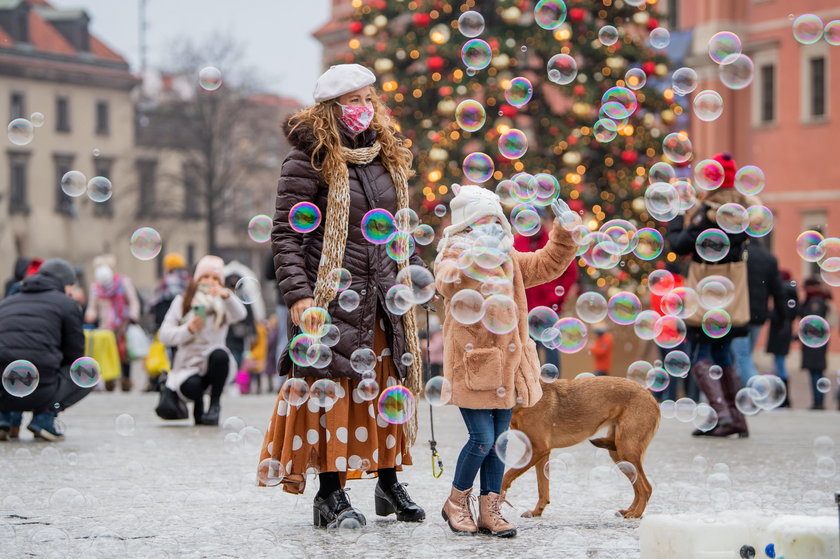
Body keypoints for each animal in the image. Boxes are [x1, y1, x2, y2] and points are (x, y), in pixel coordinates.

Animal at [502, 376, 660, 520]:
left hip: (626, 450)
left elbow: (507, 475)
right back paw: (629, 510)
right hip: (618, 454)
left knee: (646, 488)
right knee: (638, 487)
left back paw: (636, 514)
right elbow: (543, 488)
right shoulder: (542, 455)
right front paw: (537, 511)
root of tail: (651, 397)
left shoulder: (537, 450)